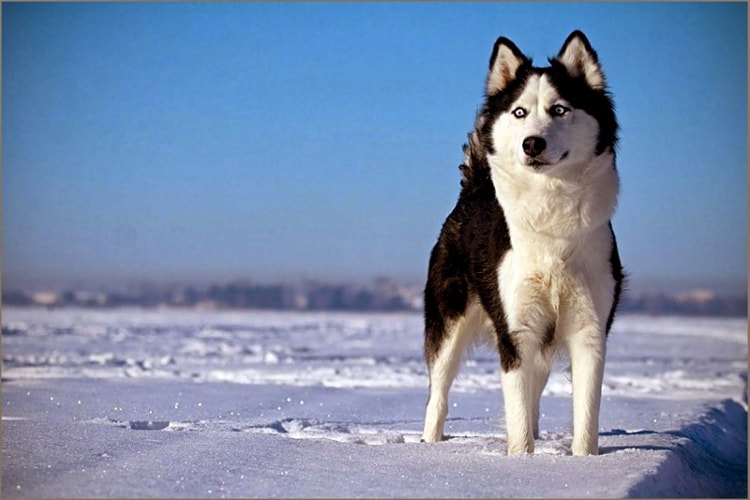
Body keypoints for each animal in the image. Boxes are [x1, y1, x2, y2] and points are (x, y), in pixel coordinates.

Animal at [420, 29, 624, 456]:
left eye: (560, 110)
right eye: (519, 112)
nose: (532, 144)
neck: (552, 217)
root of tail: (474, 187)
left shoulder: (589, 330)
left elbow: (585, 420)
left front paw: (584, 462)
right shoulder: (516, 332)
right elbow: (515, 419)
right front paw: (520, 461)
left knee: (532, 396)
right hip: (448, 321)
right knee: (438, 395)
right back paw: (429, 444)